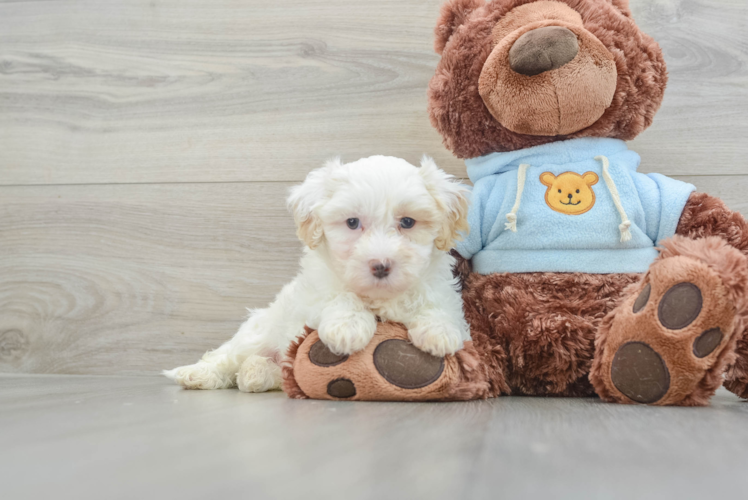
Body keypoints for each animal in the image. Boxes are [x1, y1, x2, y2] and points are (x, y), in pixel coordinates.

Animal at [166, 154, 470, 392]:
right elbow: (339, 295)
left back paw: (256, 373)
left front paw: (438, 332)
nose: (381, 265)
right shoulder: (314, 291)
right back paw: (198, 374)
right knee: (228, 356)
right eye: (352, 222)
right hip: (258, 332)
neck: (377, 298)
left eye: (407, 222)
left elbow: (439, 302)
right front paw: (347, 327)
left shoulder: (439, 285)